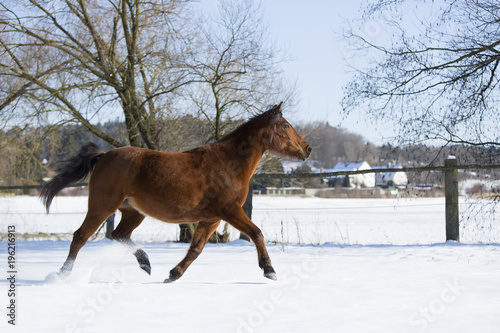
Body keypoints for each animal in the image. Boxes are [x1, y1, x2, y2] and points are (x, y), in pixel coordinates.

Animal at [41, 102, 310, 282]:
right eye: (286, 126)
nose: (307, 149)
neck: (229, 162)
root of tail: (104, 155)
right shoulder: (230, 210)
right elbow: (256, 233)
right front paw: (269, 270)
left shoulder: (212, 219)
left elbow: (196, 249)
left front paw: (173, 274)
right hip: (102, 206)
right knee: (80, 236)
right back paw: (62, 274)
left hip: (133, 212)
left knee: (119, 235)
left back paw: (146, 263)